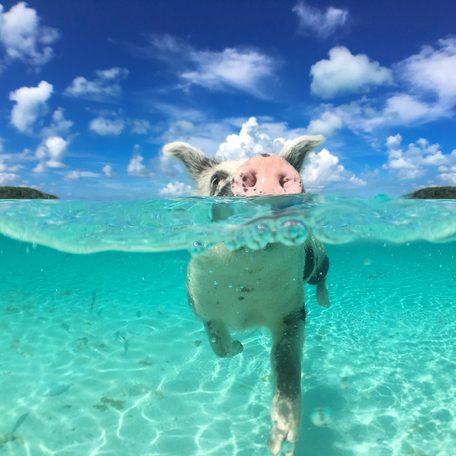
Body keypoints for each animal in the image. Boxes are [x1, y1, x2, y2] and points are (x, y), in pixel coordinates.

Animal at [163, 136, 328, 456]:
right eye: (216, 179)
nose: (266, 162)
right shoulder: (201, 303)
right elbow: (217, 342)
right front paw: (238, 347)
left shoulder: (292, 311)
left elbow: (286, 361)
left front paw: (282, 442)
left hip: (318, 260)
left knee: (322, 277)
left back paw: (325, 301)